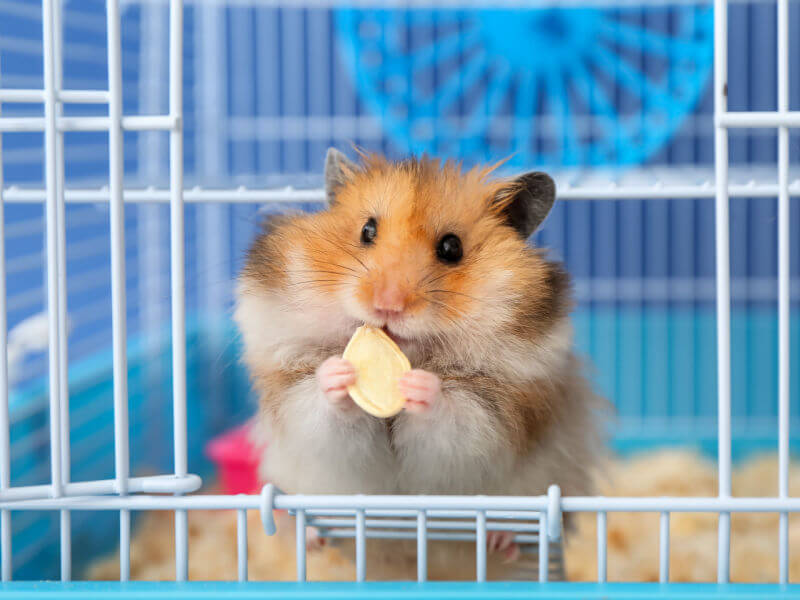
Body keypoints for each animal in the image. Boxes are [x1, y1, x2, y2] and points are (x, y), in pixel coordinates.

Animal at [234, 148, 608, 576]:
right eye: (367, 231)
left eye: (451, 247)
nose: (387, 306)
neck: (413, 353)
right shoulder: (295, 402)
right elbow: (319, 409)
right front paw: (339, 374)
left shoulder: (498, 416)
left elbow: (455, 417)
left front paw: (421, 386)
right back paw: (311, 534)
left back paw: (502, 538)